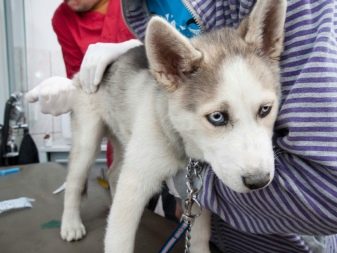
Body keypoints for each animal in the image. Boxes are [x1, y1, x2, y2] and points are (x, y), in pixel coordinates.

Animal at [60, 0, 286, 252]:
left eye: (265, 109)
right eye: (217, 117)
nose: (259, 181)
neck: (184, 144)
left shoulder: (196, 192)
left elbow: (198, 238)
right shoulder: (136, 182)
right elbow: (119, 240)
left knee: (112, 172)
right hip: (88, 139)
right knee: (74, 181)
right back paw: (71, 224)